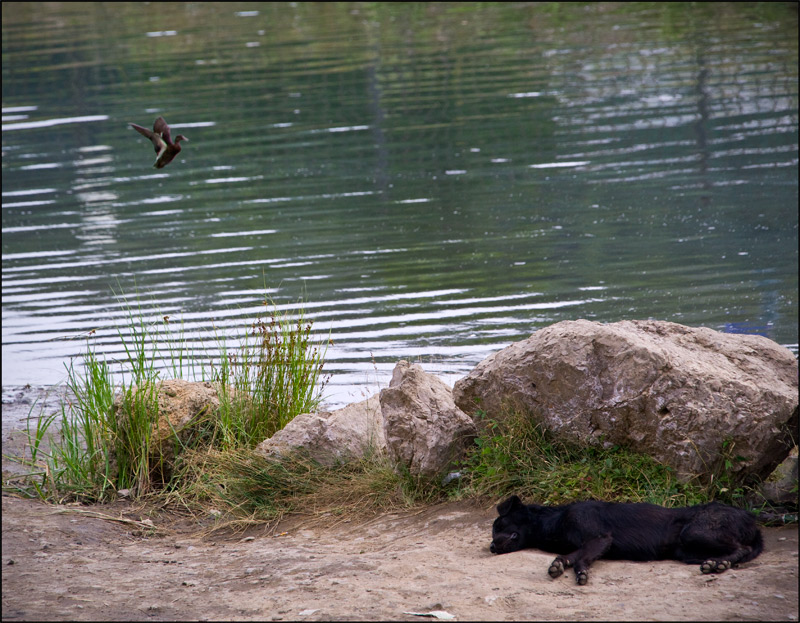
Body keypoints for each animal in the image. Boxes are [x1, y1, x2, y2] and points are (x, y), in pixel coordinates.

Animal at [488, 494, 764, 588]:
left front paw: (580, 573)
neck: (553, 520)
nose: (490, 547)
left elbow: (580, 560)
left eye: (498, 525)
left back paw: (720, 564)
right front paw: (559, 564)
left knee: (742, 548)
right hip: (685, 550)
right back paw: (716, 563)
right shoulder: (589, 544)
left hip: (695, 533)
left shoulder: (600, 538)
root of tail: (750, 519)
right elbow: (570, 556)